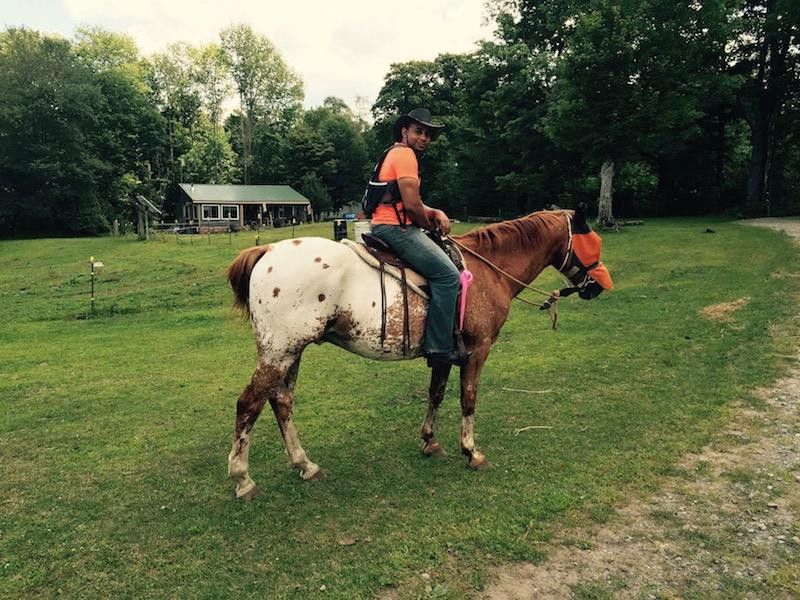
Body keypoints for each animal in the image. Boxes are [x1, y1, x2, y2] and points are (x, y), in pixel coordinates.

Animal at [225, 209, 608, 500]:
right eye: (593, 243)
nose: (598, 287)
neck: (487, 271)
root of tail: (266, 251)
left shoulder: (444, 353)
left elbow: (436, 393)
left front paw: (430, 441)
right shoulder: (478, 350)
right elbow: (468, 398)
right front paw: (471, 451)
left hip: (290, 353)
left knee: (281, 402)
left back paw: (305, 465)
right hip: (280, 353)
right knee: (248, 404)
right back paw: (243, 479)